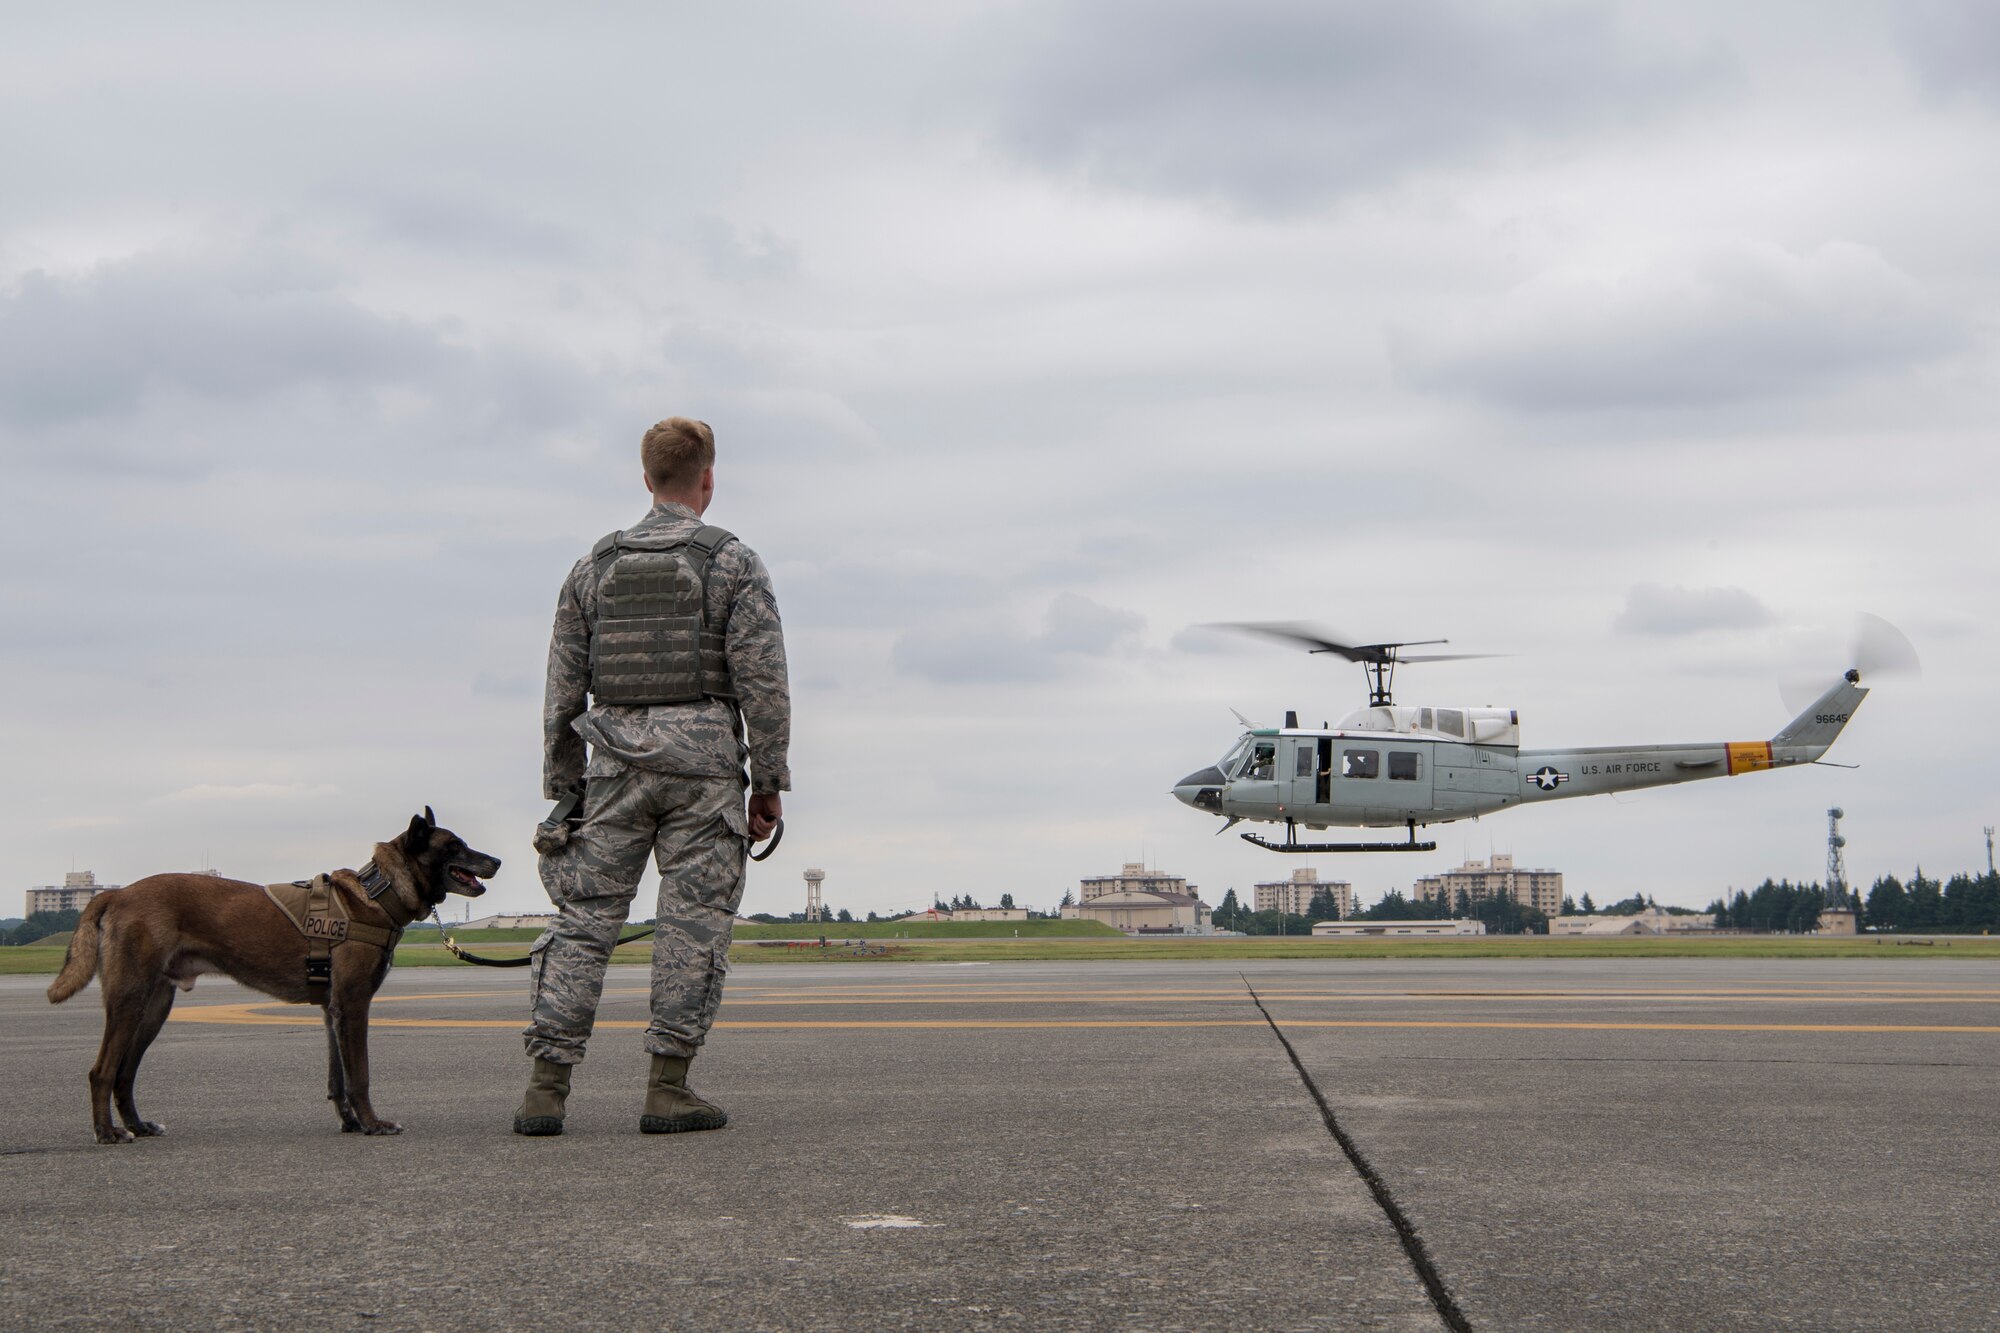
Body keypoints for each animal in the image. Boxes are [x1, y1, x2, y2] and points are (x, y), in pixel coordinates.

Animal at [47, 804, 500, 1136]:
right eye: (454, 846)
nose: (495, 860)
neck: (376, 895)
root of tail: (116, 894)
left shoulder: (332, 1011)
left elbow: (338, 1080)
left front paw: (351, 1123)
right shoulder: (353, 1006)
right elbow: (360, 1076)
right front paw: (373, 1124)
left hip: (154, 1006)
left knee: (124, 1074)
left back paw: (138, 1126)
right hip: (130, 999)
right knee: (102, 1071)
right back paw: (108, 1133)